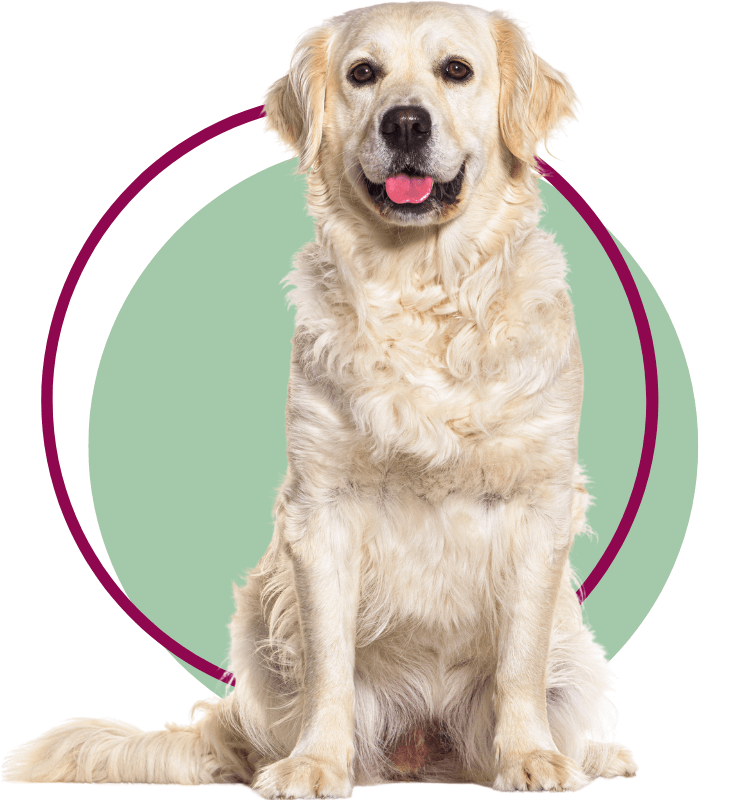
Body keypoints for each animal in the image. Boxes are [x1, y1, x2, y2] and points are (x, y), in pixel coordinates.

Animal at [5, 4, 636, 792]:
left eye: (456, 70)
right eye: (363, 73)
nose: (404, 123)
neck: (419, 286)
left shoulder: (539, 500)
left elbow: (519, 658)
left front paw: (529, 757)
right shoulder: (322, 508)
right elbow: (329, 662)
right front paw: (316, 764)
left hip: (574, 648)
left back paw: (589, 753)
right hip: (259, 623)